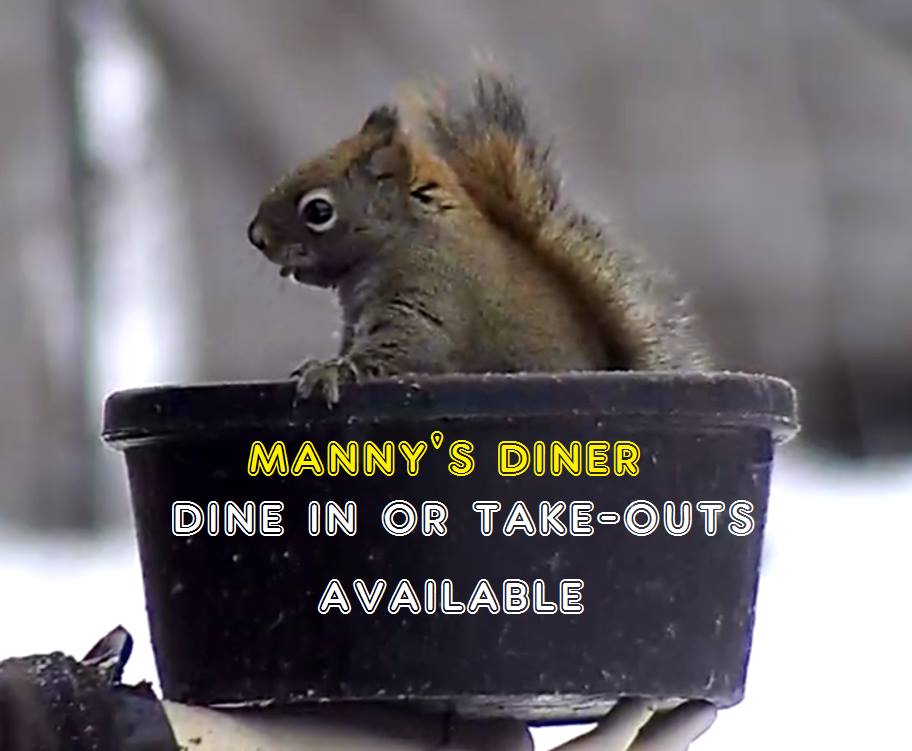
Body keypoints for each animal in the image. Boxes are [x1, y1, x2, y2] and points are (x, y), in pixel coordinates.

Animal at [247, 70, 709, 403]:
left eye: (318, 211)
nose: (256, 236)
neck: (403, 238)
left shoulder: (432, 292)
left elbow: (413, 346)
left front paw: (332, 371)